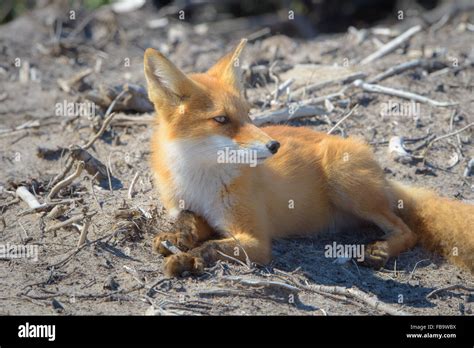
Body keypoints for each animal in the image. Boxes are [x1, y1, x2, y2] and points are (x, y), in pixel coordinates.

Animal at [144, 38, 474, 278]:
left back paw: (380, 251)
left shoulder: (256, 241)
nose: (274, 145)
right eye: (222, 119)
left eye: (249, 115)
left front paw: (187, 259)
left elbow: (211, 247)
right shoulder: (192, 209)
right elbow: (191, 224)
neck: (200, 178)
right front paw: (176, 239)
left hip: (347, 185)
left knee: (407, 231)